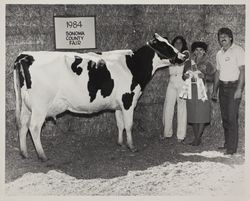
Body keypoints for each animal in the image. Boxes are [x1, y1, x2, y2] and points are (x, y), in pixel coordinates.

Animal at [13, 33, 186, 162]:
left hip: (27, 106)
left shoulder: (119, 104)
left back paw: (24, 153)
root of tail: (26, 55)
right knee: (34, 127)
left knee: (22, 125)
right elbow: (129, 125)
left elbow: (120, 124)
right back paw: (42, 156)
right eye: (165, 46)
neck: (134, 65)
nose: (183, 56)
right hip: (40, 106)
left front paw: (120, 143)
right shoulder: (128, 100)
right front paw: (131, 146)